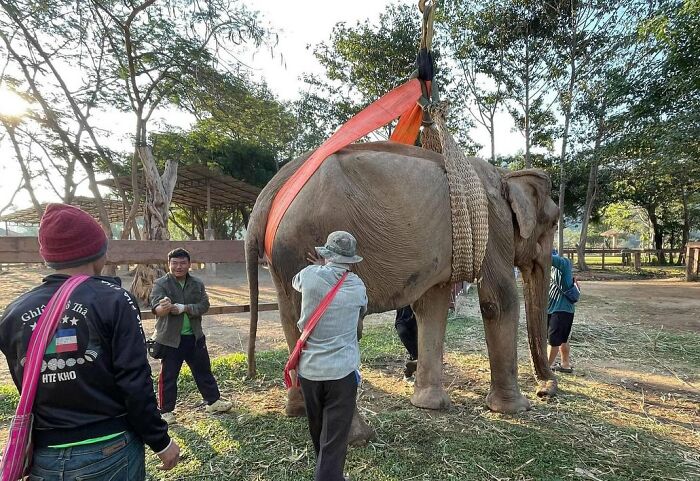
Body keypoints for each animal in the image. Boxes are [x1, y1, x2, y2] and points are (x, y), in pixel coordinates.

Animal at [246, 141, 556, 440]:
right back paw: (358, 437)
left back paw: (297, 411)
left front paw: (430, 406)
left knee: (290, 318)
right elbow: (498, 302)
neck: (505, 175)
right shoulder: (494, 223)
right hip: (306, 241)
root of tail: (269, 194)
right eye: (553, 223)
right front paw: (516, 409)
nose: (546, 390)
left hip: (282, 260)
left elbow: (432, 306)